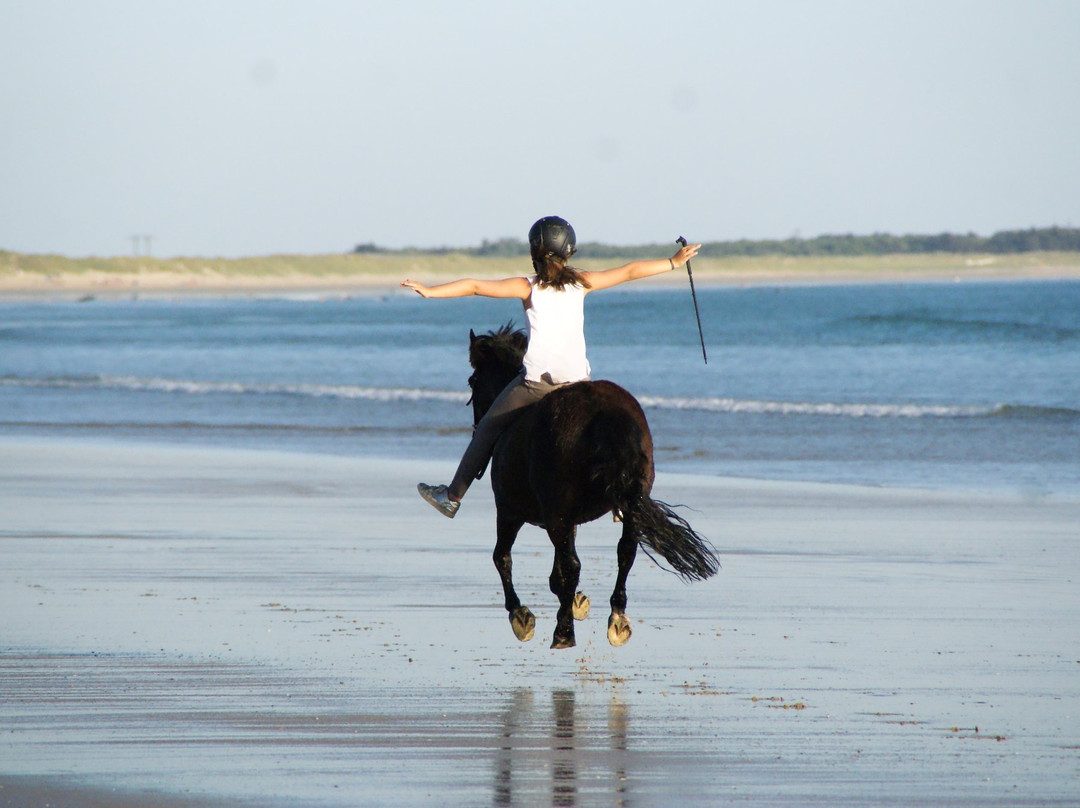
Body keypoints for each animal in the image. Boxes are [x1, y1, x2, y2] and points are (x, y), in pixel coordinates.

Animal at [464, 324, 717, 648]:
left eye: (473, 380)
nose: (476, 426)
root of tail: (606, 415)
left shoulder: (511, 511)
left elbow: (503, 558)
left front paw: (521, 615)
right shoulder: (565, 520)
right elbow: (556, 573)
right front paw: (575, 603)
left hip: (553, 515)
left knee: (572, 565)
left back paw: (563, 632)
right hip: (626, 507)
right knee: (625, 552)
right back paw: (617, 618)